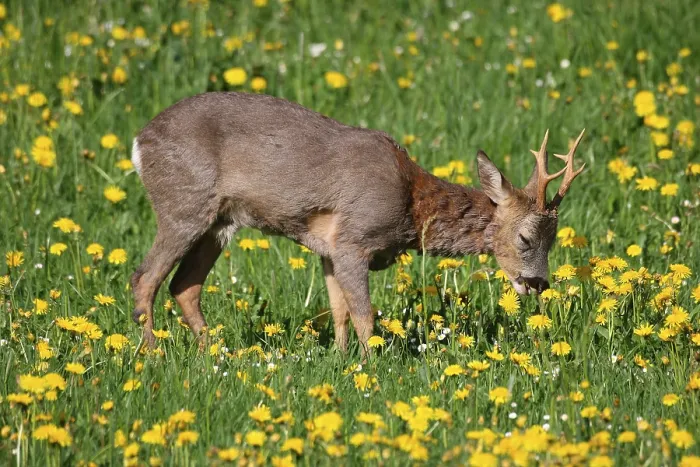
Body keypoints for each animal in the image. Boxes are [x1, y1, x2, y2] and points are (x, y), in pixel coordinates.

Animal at [130, 92, 585, 353]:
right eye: (525, 238)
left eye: (553, 240)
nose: (538, 284)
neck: (411, 204)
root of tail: (139, 141)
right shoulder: (354, 239)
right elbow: (365, 316)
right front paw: (372, 366)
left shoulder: (329, 249)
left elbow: (339, 312)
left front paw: (341, 360)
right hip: (184, 203)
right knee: (145, 277)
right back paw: (152, 354)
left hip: (220, 222)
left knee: (184, 285)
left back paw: (216, 354)